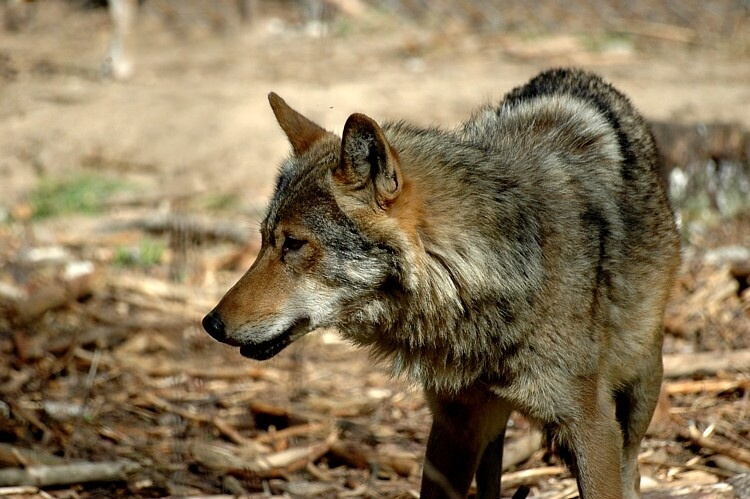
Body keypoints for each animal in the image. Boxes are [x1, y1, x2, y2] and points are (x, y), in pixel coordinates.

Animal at [203, 68, 681, 499]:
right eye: (264, 240)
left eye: (295, 244)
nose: (211, 323)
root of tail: (579, 75)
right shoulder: (454, 425)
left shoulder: (590, 427)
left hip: (639, 390)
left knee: (634, 471)